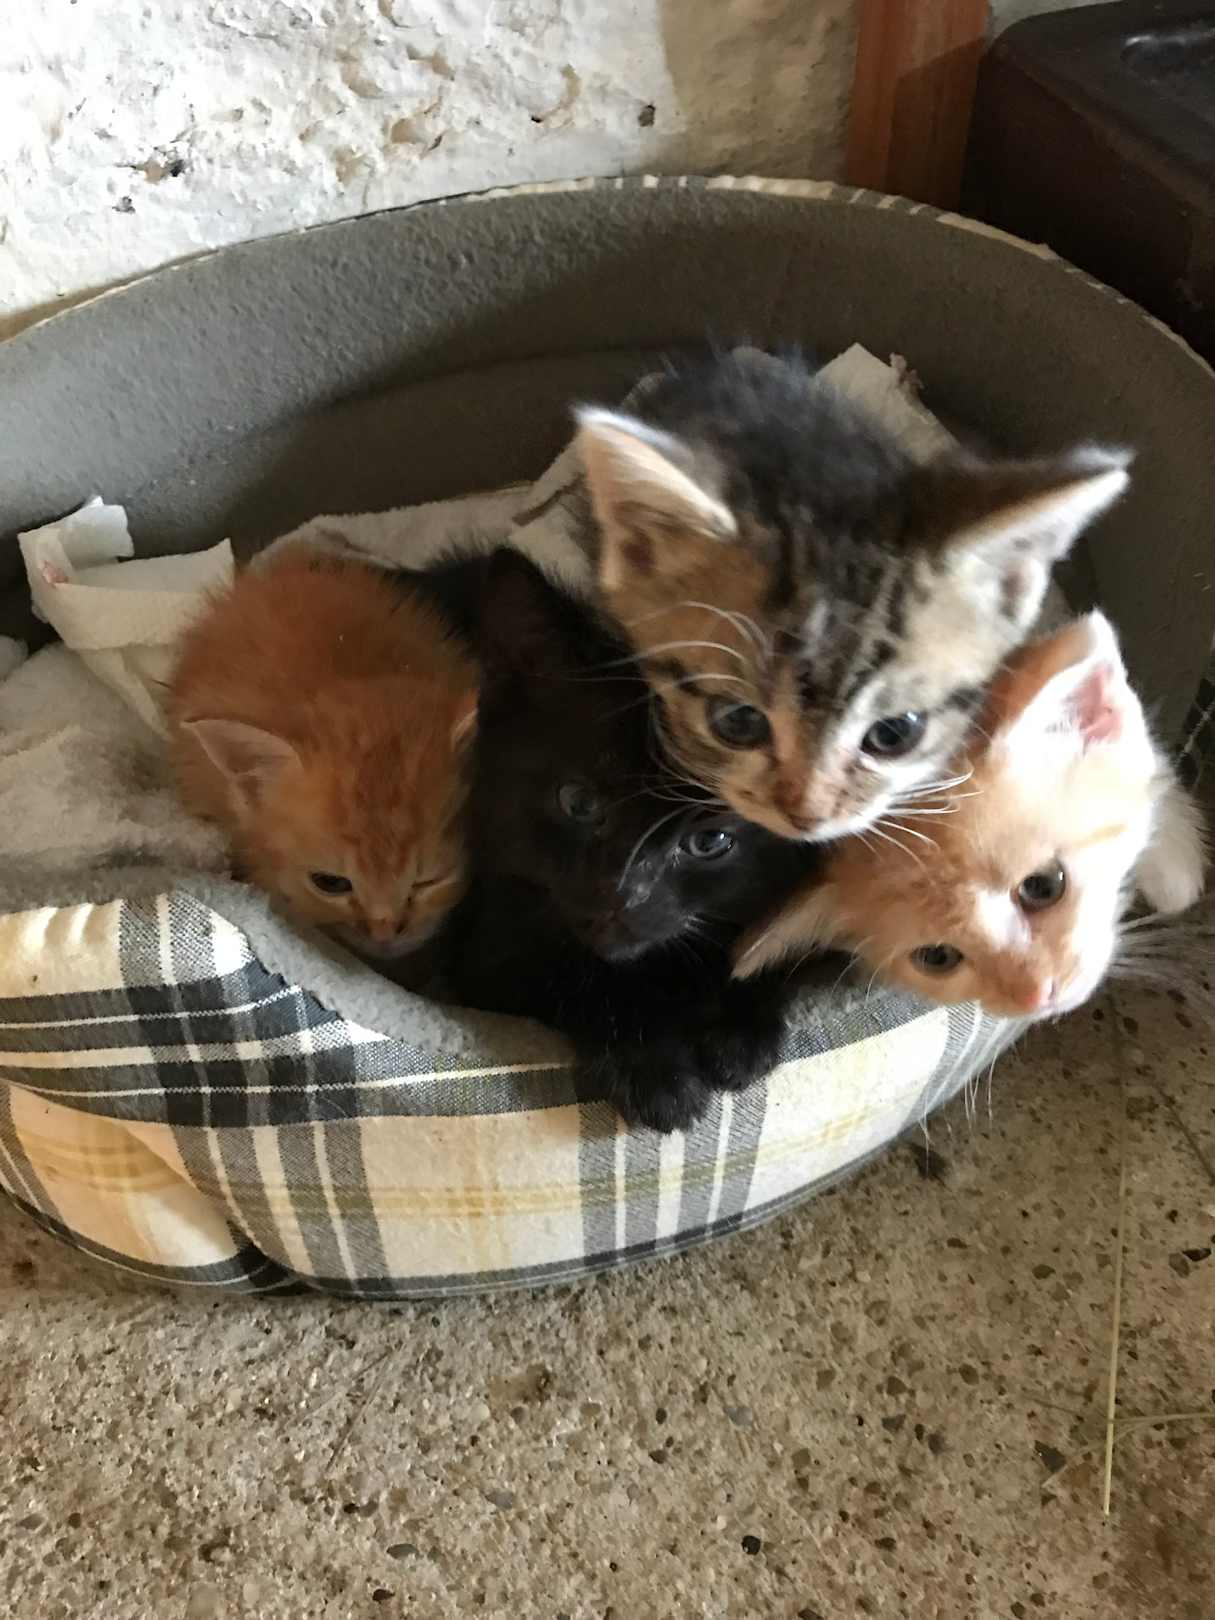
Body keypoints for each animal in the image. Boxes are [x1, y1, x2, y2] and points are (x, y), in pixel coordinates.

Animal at [440, 545, 819, 1133]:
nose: (622, 894)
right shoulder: (488, 956)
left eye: (710, 840)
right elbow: (570, 978)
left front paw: (738, 1034)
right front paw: (655, 1071)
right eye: (578, 802)